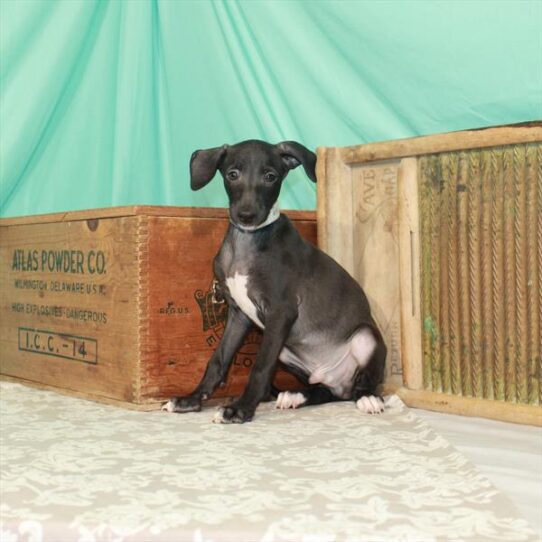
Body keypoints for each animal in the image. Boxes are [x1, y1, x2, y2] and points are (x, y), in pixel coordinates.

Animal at [164, 141, 388, 424]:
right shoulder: (239, 315)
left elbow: (260, 367)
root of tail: (341, 382)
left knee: (361, 384)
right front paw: (192, 400)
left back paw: (369, 398)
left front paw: (240, 409)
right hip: (287, 350)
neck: (248, 242)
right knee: (327, 391)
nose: (246, 215)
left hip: (363, 337)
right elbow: (218, 359)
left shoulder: (281, 312)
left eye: (270, 176)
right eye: (232, 174)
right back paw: (295, 395)